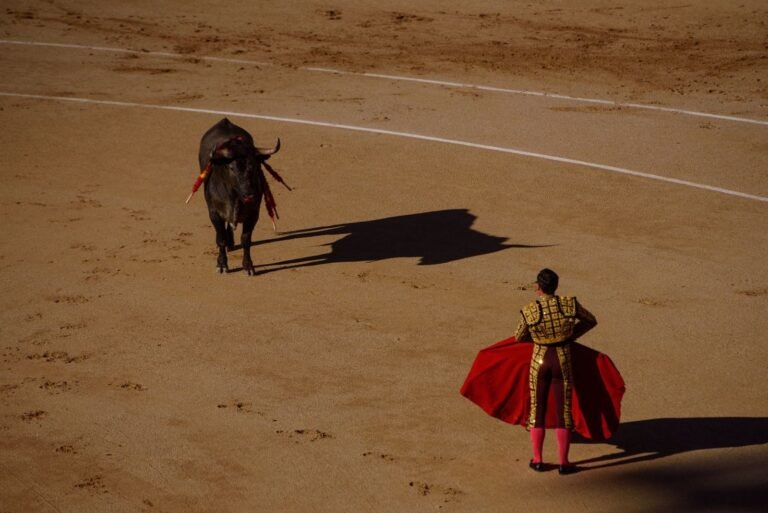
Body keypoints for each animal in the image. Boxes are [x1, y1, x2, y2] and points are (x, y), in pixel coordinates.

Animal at [196, 117, 290, 274]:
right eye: (231, 167)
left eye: (254, 166)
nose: (249, 195)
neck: (235, 198)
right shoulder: (214, 212)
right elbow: (220, 238)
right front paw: (222, 264)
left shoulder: (253, 214)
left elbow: (246, 239)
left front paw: (248, 266)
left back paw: (231, 242)